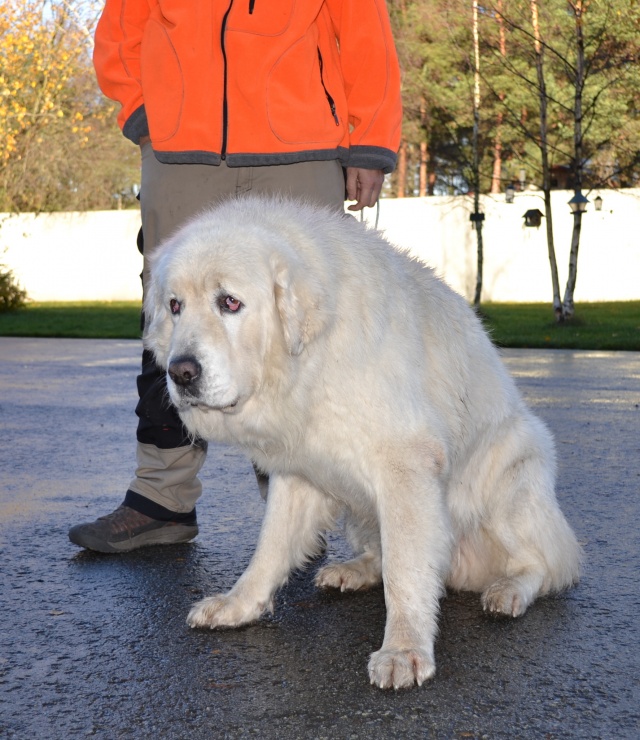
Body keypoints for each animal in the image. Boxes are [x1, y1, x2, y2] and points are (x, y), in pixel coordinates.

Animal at [143, 195, 582, 689]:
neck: (311, 358)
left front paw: (404, 649)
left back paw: (509, 590)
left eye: (230, 302)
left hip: (513, 471)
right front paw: (240, 605)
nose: (181, 372)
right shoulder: (296, 470)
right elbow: (270, 547)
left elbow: (406, 568)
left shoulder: (405, 466)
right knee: (379, 552)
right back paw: (353, 571)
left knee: (546, 563)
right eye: (175, 306)